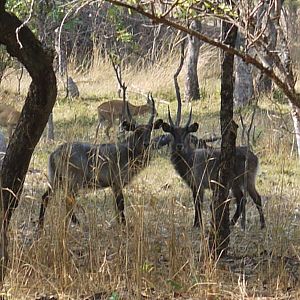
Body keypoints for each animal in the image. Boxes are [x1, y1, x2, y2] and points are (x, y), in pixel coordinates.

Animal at [39, 97, 164, 229]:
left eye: (149, 131)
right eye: (137, 132)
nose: (146, 144)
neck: (128, 152)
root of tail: (54, 153)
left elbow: (116, 209)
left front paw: (118, 224)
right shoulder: (117, 183)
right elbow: (121, 206)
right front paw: (124, 226)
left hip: (55, 179)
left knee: (46, 197)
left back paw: (41, 225)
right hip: (73, 181)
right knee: (67, 202)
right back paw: (78, 223)